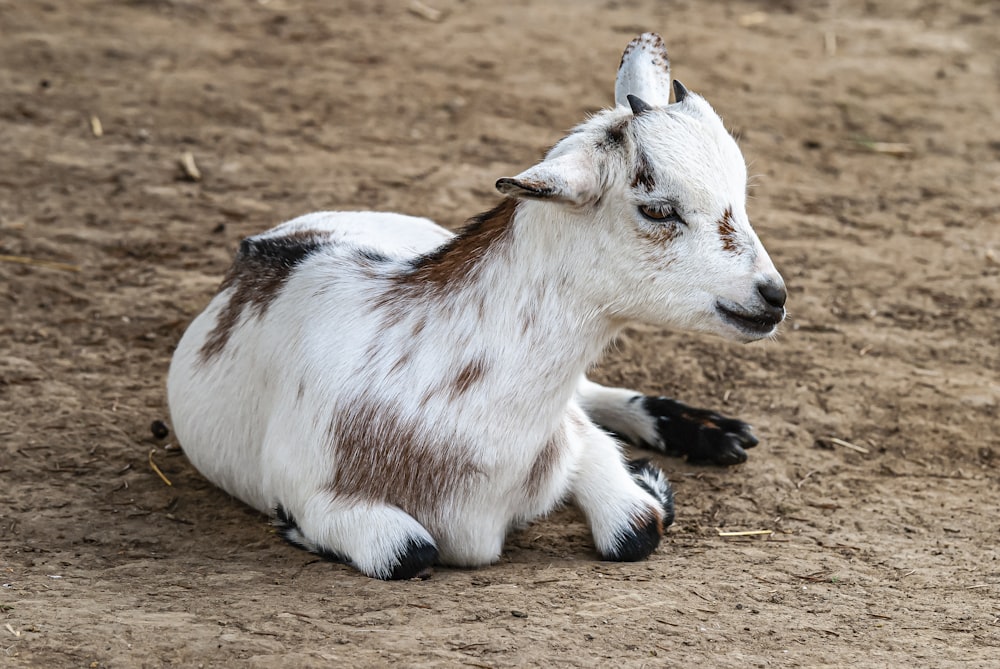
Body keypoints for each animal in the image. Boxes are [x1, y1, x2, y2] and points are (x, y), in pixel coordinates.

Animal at [168, 35, 784, 580]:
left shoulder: (568, 435)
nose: (772, 296)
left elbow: (634, 527)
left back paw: (714, 432)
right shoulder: (317, 492)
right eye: (658, 210)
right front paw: (293, 529)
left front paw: (655, 480)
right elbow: (408, 551)